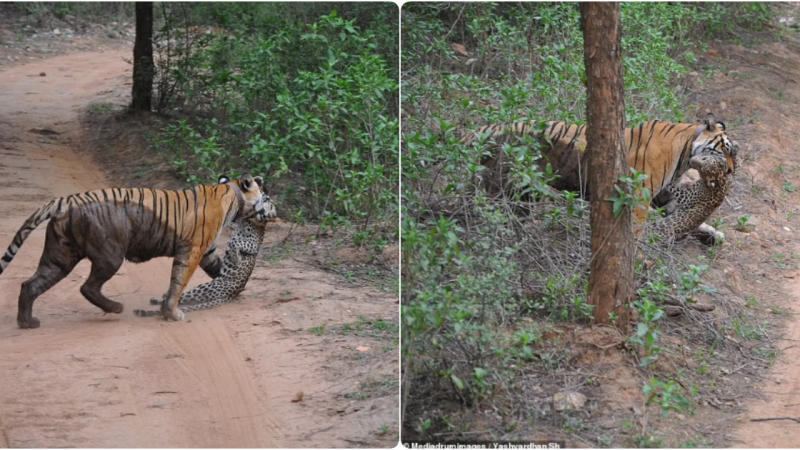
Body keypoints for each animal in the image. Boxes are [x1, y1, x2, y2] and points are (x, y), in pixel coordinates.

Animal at [131, 214, 268, 316]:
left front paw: (236, 258)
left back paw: (159, 299)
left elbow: (238, 245)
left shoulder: (251, 243)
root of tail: (231, 295)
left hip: (202, 289)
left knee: (179, 297)